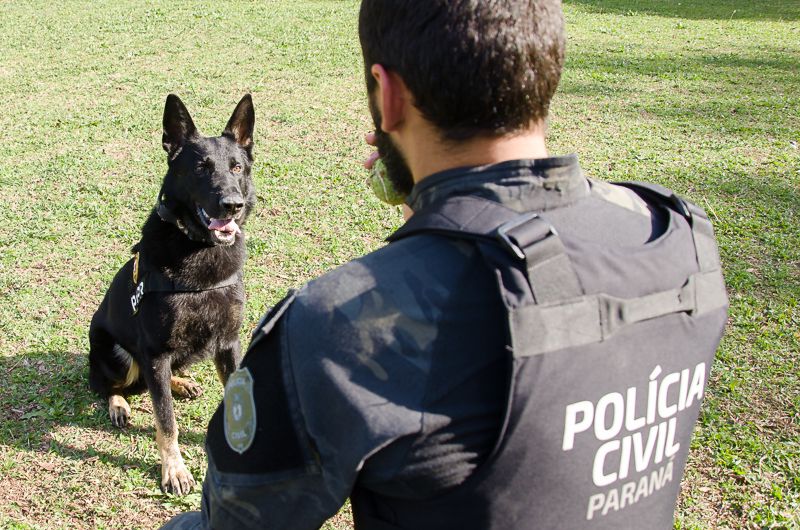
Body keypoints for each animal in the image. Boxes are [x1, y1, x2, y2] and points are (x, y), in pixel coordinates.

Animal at [89, 93, 255, 492]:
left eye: (236, 167)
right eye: (201, 169)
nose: (232, 205)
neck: (197, 246)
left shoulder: (228, 342)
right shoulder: (155, 351)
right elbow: (166, 421)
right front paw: (174, 469)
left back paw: (181, 383)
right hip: (117, 354)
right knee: (104, 384)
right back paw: (119, 404)